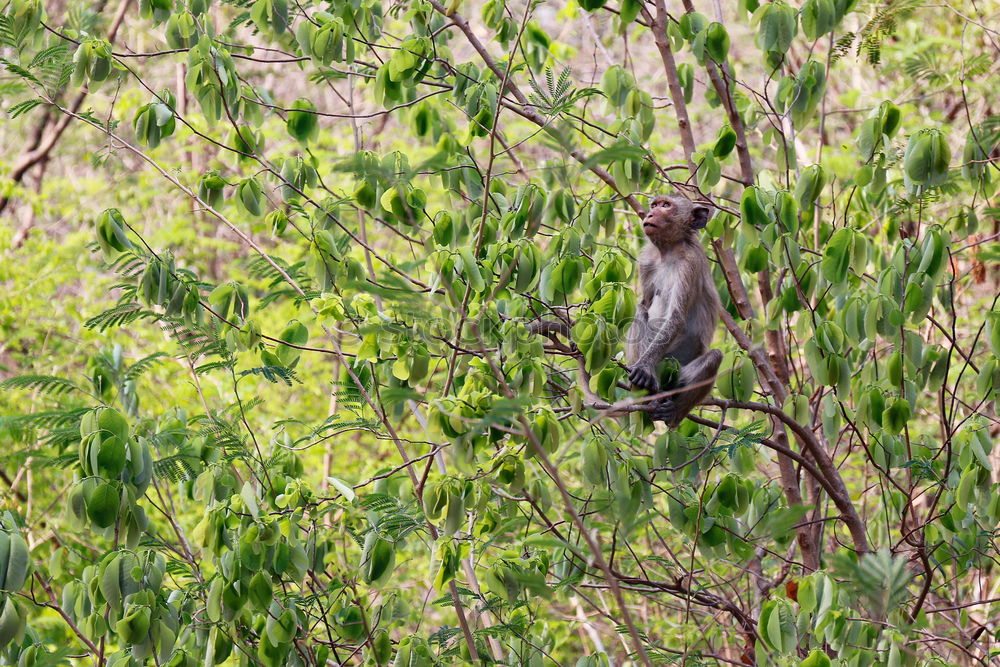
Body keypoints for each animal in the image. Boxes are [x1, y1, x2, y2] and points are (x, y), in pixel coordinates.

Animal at [628, 193, 724, 428]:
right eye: (654, 205)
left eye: (666, 206)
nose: (650, 213)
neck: (668, 251)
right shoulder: (646, 261)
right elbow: (645, 305)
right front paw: (644, 368)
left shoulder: (689, 264)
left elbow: (676, 317)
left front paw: (644, 367)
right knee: (640, 313)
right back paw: (646, 392)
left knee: (714, 357)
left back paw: (673, 410)